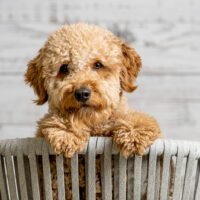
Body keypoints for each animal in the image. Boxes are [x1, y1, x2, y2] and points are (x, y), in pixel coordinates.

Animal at [25, 22, 162, 199]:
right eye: (64, 68)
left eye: (98, 65)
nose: (82, 93)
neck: (95, 125)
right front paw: (67, 132)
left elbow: (139, 119)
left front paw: (134, 134)